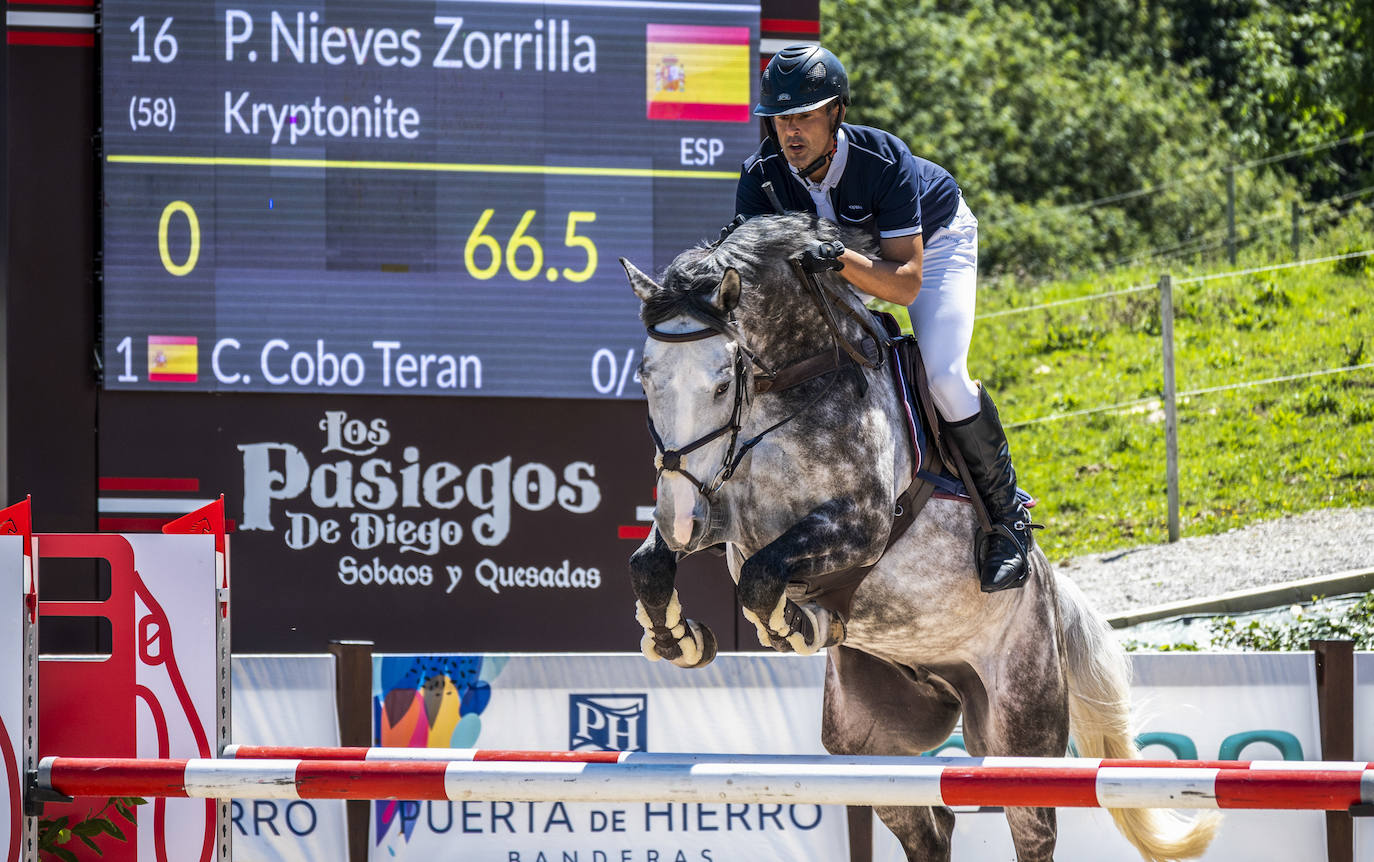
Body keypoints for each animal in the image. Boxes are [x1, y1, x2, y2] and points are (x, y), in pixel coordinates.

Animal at [621, 213, 1214, 857]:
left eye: (724, 383)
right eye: (645, 378)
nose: (678, 515)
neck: (787, 394)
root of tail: (1049, 593)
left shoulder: (860, 526)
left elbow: (761, 578)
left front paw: (794, 625)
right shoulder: (720, 510)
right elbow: (651, 566)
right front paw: (679, 638)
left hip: (1017, 728)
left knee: (1031, 832)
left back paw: (1000, 555)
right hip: (869, 744)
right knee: (931, 830)